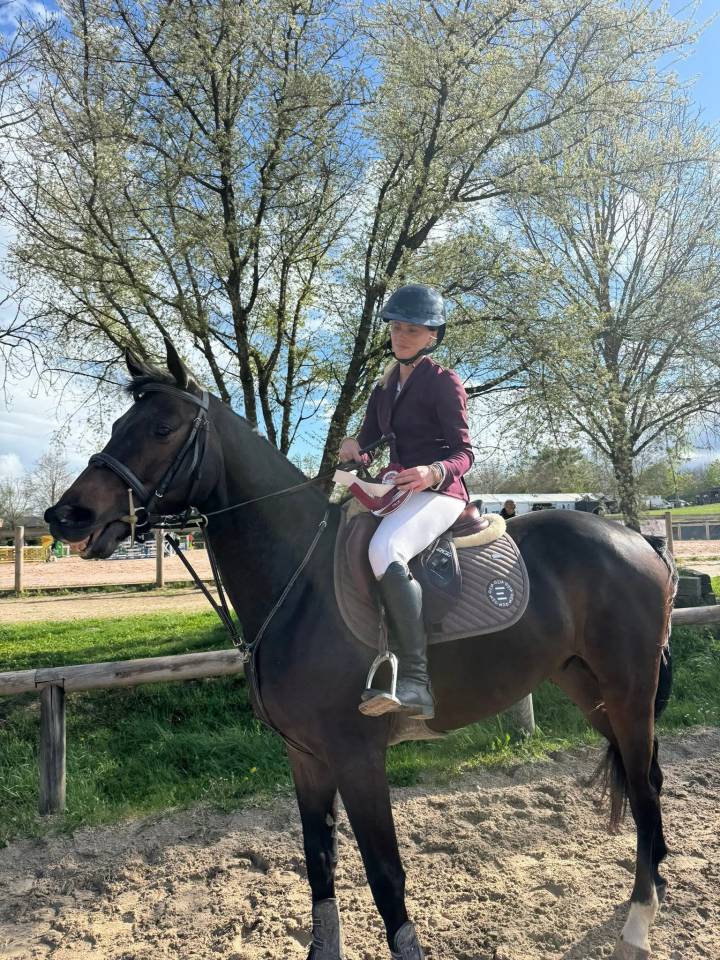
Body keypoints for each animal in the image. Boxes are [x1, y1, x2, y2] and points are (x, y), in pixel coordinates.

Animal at [45, 342, 677, 960]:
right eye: (118, 424)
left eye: (163, 428)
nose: (65, 515)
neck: (300, 581)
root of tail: (636, 538)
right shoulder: (306, 757)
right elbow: (318, 863)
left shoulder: (357, 757)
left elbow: (384, 873)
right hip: (588, 687)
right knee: (644, 776)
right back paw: (656, 884)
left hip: (628, 689)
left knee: (645, 789)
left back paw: (638, 923)